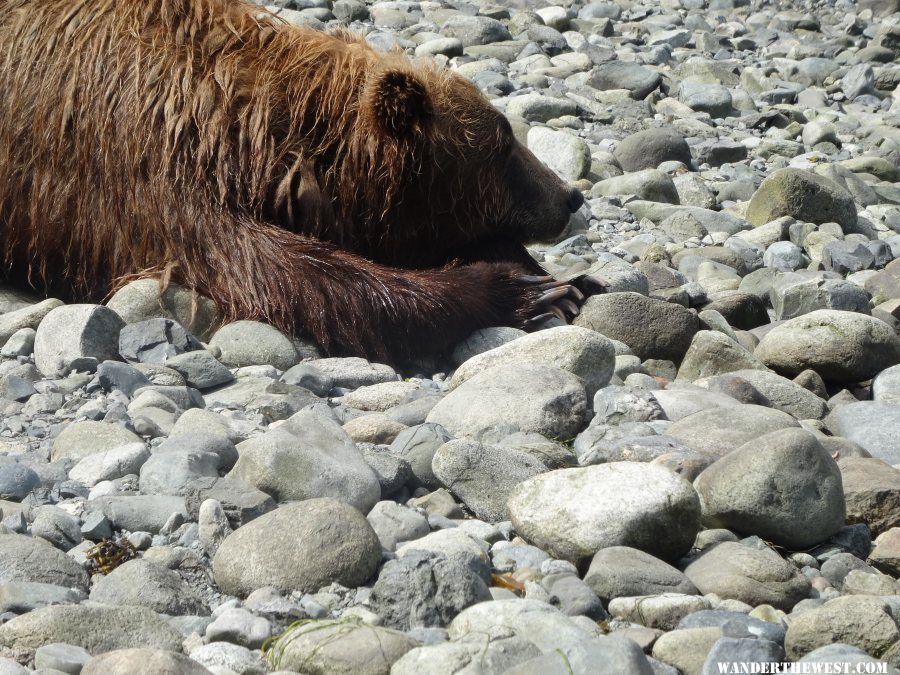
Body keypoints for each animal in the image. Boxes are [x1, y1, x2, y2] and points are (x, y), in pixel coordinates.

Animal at [0, 0, 592, 364]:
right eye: (503, 142)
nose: (570, 196)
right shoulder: (140, 160)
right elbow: (281, 274)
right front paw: (520, 290)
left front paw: (564, 281)